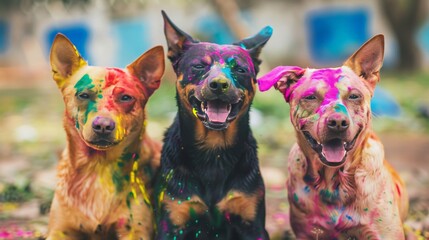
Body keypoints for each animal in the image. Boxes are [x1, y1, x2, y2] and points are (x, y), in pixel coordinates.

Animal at [46, 34, 164, 240]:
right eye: (83, 95)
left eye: (125, 97)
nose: (103, 126)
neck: (98, 167)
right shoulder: (59, 230)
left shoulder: (135, 231)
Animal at [155, 10, 270, 238]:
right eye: (199, 66)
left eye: (240, 69)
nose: (219, 84)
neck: (214, 150)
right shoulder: (173, 223)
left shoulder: (252, 224)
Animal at [258, 34, 408, 239]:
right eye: (310, 97)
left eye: (354, 96)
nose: (337, 123)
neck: (334, 184)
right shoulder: (306, 232)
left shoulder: (384, 233)